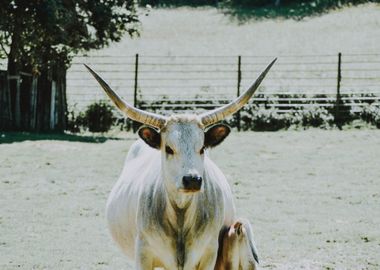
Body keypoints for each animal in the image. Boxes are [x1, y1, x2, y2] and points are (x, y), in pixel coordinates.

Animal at [85, 59, 276, 270]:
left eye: (202, 148)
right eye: (168, 148)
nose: (192, 180)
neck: (181, 214)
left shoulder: (209, 253)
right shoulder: (143, 254)